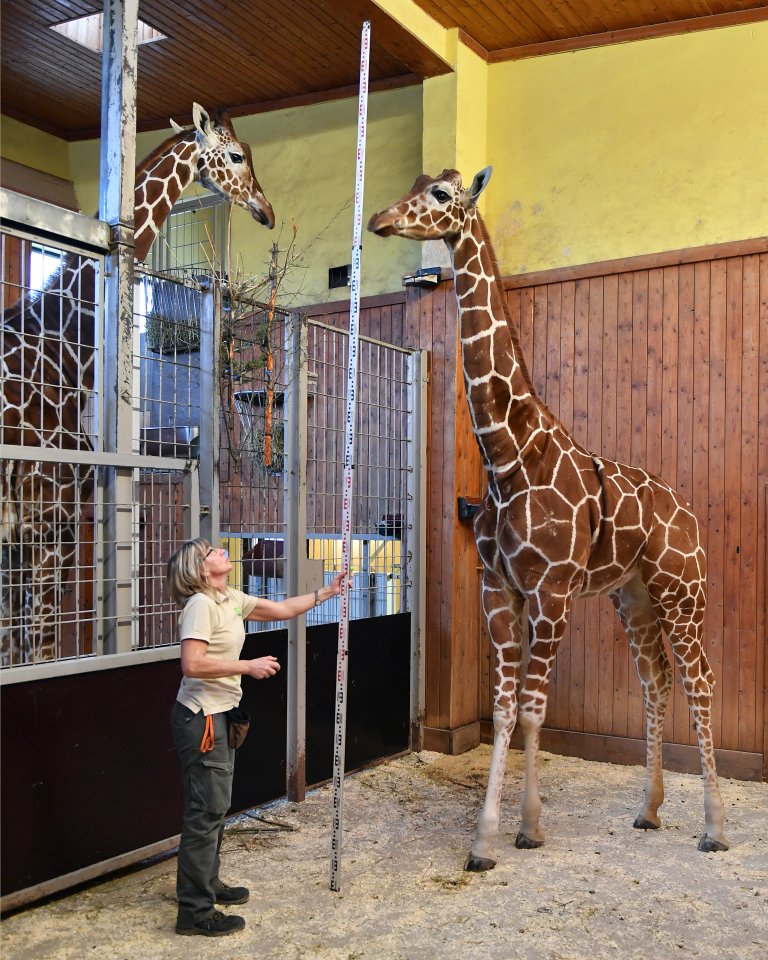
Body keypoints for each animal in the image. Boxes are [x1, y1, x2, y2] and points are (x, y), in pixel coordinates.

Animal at [0, 103, 276, 660]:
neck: (60, 355)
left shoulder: (23, 543)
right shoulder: (47, 529)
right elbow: (36, 654)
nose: (266, 210)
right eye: (237, 156)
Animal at [368, 165, 728, 872]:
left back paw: (714, 827)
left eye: (443, 195)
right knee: (656, 682)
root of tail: (688, 514)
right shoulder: (499, 590)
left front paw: (528, 827)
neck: (509, 456)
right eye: (416, 183)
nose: (381, 220)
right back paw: (648, 811)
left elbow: (534, 711)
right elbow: (505, 710)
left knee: (701, 684)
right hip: (633, 595)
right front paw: (483, 841)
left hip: (683, 589)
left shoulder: (552, 591)